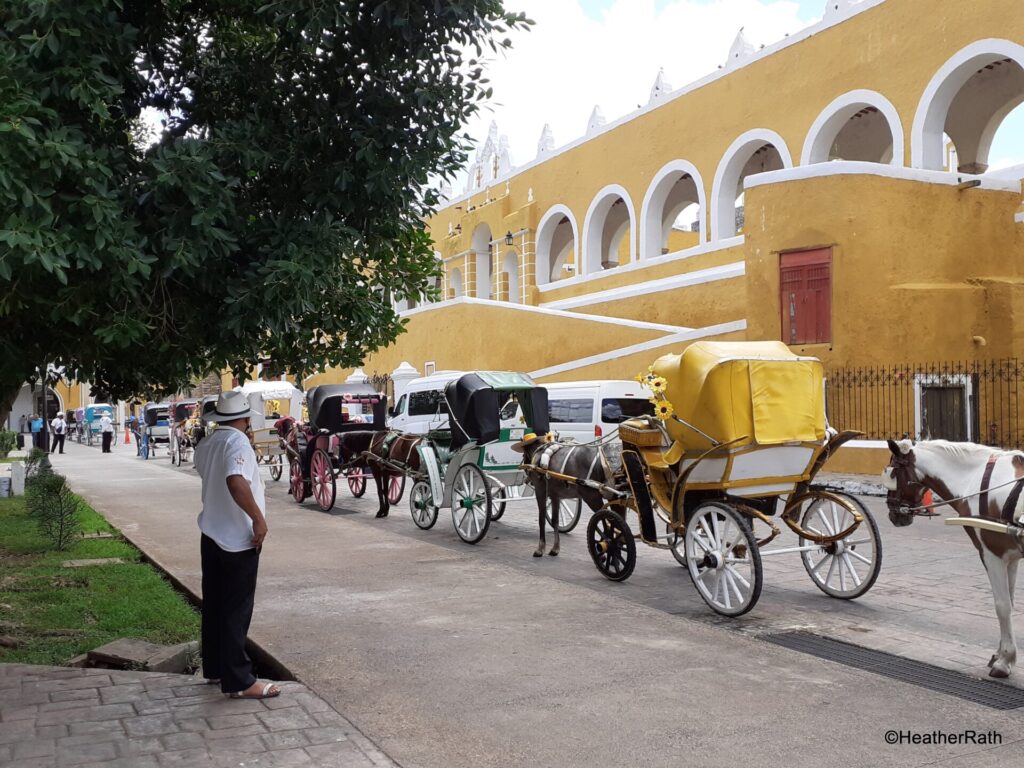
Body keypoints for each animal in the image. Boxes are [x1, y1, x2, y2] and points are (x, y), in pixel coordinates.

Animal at [880, 438, 1024, 679]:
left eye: (893, 472)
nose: (894, 514)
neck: (975, 479)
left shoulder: (991, 554)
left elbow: (1002, 606)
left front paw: (1004, 660)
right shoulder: (1010, 557)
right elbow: (1010, 604)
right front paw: (1001, 653)